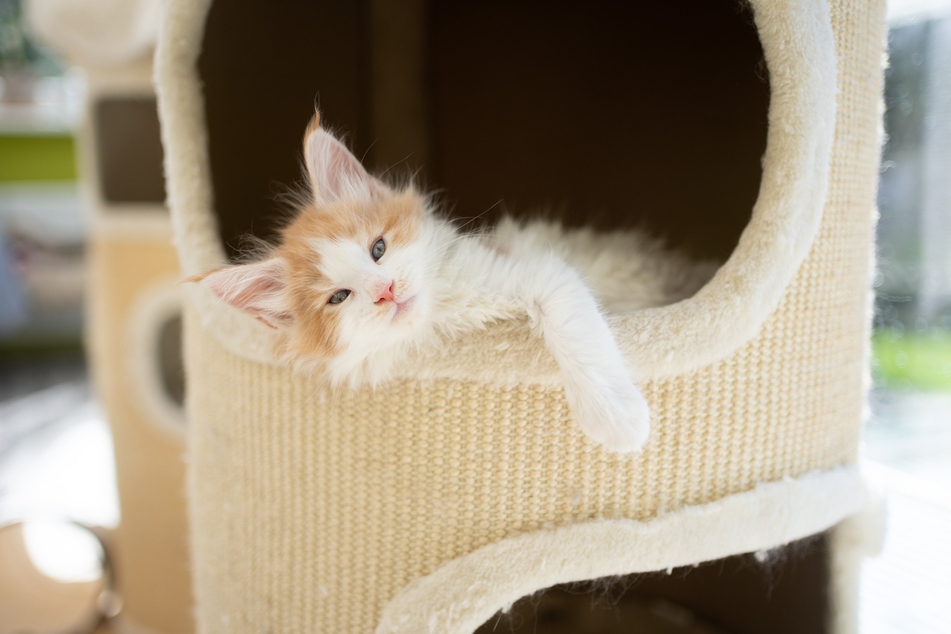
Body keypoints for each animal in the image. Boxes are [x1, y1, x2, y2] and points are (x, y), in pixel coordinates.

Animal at [195, 111, 712, 452]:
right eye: (339, 297)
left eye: (378, 248)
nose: (385, 291)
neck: (445, 312)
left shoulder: (539, 270)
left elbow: (576, 330)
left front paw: (616, 418)